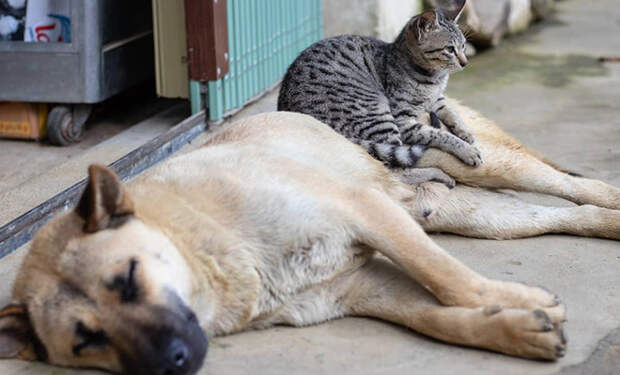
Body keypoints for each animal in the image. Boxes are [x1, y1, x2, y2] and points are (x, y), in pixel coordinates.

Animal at [1, 101, 620, 374]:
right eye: (86, 340)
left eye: (128, 279)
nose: (174, 362)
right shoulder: (364, 287)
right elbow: (438, 317)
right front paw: (516, 328)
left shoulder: (366, 212)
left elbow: (448, 278)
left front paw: (520, 303)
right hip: (472, 214)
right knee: (561, 214)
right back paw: (602, 221)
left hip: (485, 165)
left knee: (573, 184)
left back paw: (612, 201)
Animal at [278, 0, 482, 170]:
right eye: (450, 49)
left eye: (464, 46)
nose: (465, 62)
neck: (435, 79)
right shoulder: (403, 120)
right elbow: (440, 135)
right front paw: (466, 149)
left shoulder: (437, 99)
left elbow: (451, 113)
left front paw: (465, 132)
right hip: (378, 116)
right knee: (398, 166)